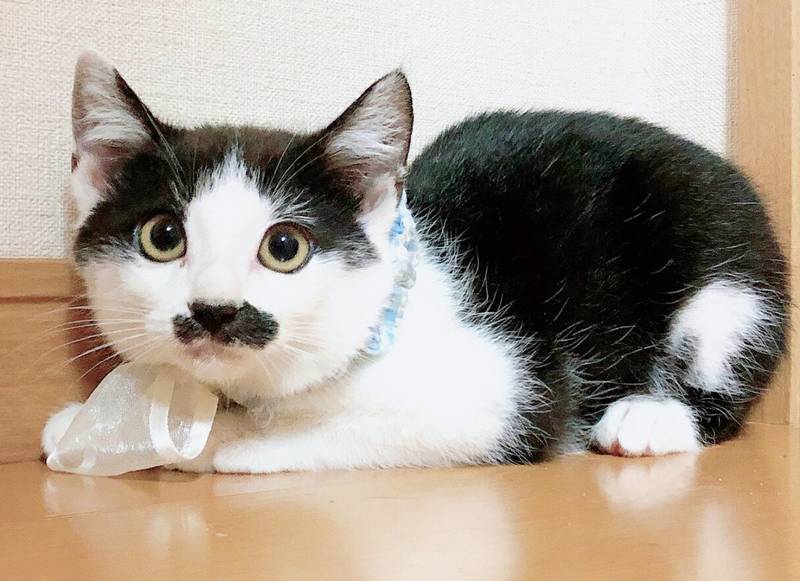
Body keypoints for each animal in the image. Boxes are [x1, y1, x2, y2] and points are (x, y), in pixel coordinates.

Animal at [42, 51, 788, 473]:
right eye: (163, 236)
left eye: (285, 248)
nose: (215, 311)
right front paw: (102, 421)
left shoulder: (501, 396)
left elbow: (279, 435)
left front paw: (194, 438)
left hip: (723, 276)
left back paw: (648, 419)